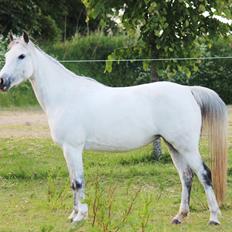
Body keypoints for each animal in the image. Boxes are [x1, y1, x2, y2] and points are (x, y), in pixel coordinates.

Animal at [0, 32, 228, 225]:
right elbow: (72, 181)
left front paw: (79, 216)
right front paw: (73, 214)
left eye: (21, 56)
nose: (2, 81)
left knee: (204, 174)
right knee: (187, 177)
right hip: (174, 146)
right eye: (7, 55)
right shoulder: (67, 150)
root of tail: (188, 91)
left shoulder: (73, 148)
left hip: (186, 146)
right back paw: (179, 216)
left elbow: (78, 182)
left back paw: (214, 218)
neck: (65, 96)